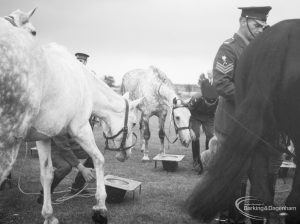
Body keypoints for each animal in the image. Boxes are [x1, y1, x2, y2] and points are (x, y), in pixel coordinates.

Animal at [0, 10, 142, 224]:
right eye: (133, 122)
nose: (127, 154)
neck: (85, 82)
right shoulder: (81, 128)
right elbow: (99, 159)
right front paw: (100, 208)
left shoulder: (42, 136)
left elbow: (47, 173)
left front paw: (49, 215)